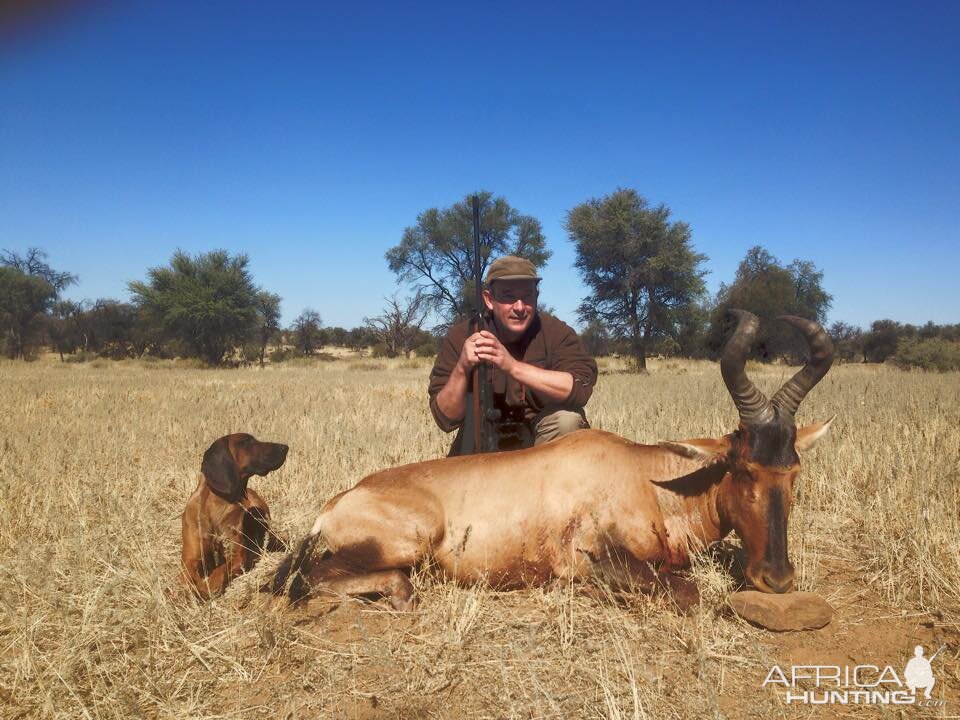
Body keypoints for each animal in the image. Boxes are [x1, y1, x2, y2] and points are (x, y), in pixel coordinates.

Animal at [178, 434, 286, 596]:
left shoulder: (236, 556)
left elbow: (220, 569)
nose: (285, 447)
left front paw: (207, 586)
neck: (217, 506)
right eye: (246, 441)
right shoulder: (189, 559)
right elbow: (188, 575)